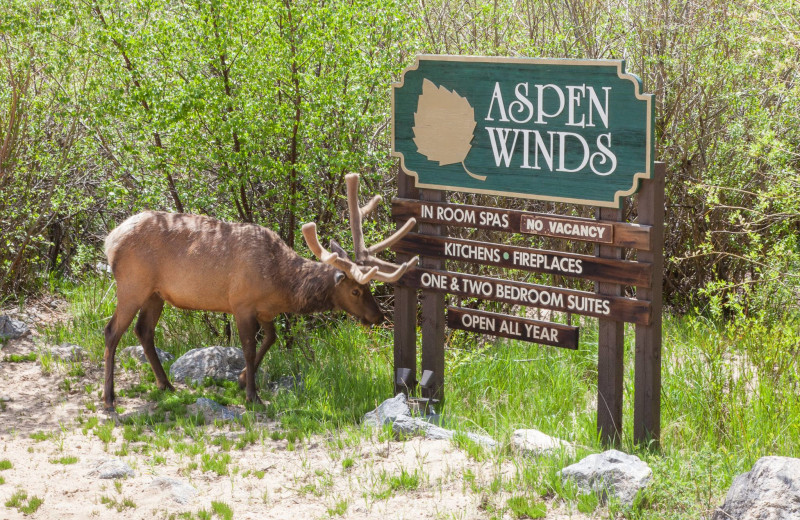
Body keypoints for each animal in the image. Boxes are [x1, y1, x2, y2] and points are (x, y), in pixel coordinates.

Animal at [101, 175, 418, 410]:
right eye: (355, 290)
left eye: (367, 287)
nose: (378, 317)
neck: (281, 286)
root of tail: (109, 240)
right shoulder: (241, 303)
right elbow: (249, 348)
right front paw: (253, 396)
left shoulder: (265, 310)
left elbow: (271, 339)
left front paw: (242, 380)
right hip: (132, 285)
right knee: (112, 331)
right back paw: (109, 398)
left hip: (155, 294)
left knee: (143, 330)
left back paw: (165, 384)